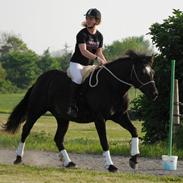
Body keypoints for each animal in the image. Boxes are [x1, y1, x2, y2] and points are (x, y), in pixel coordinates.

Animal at [2, 50, 158, 172]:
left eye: (152, 72)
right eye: (142, 72)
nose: (155, 94)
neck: (112, 86)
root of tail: (40, 80)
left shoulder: (120, 116)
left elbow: (134, 131)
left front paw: (134, 159)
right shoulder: (99, 119)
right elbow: (104, 141)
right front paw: (110, 166)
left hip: (62, 118)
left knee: (58, 138)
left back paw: (68, 162)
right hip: (36, 111)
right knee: (26, 130)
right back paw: (18, 158)